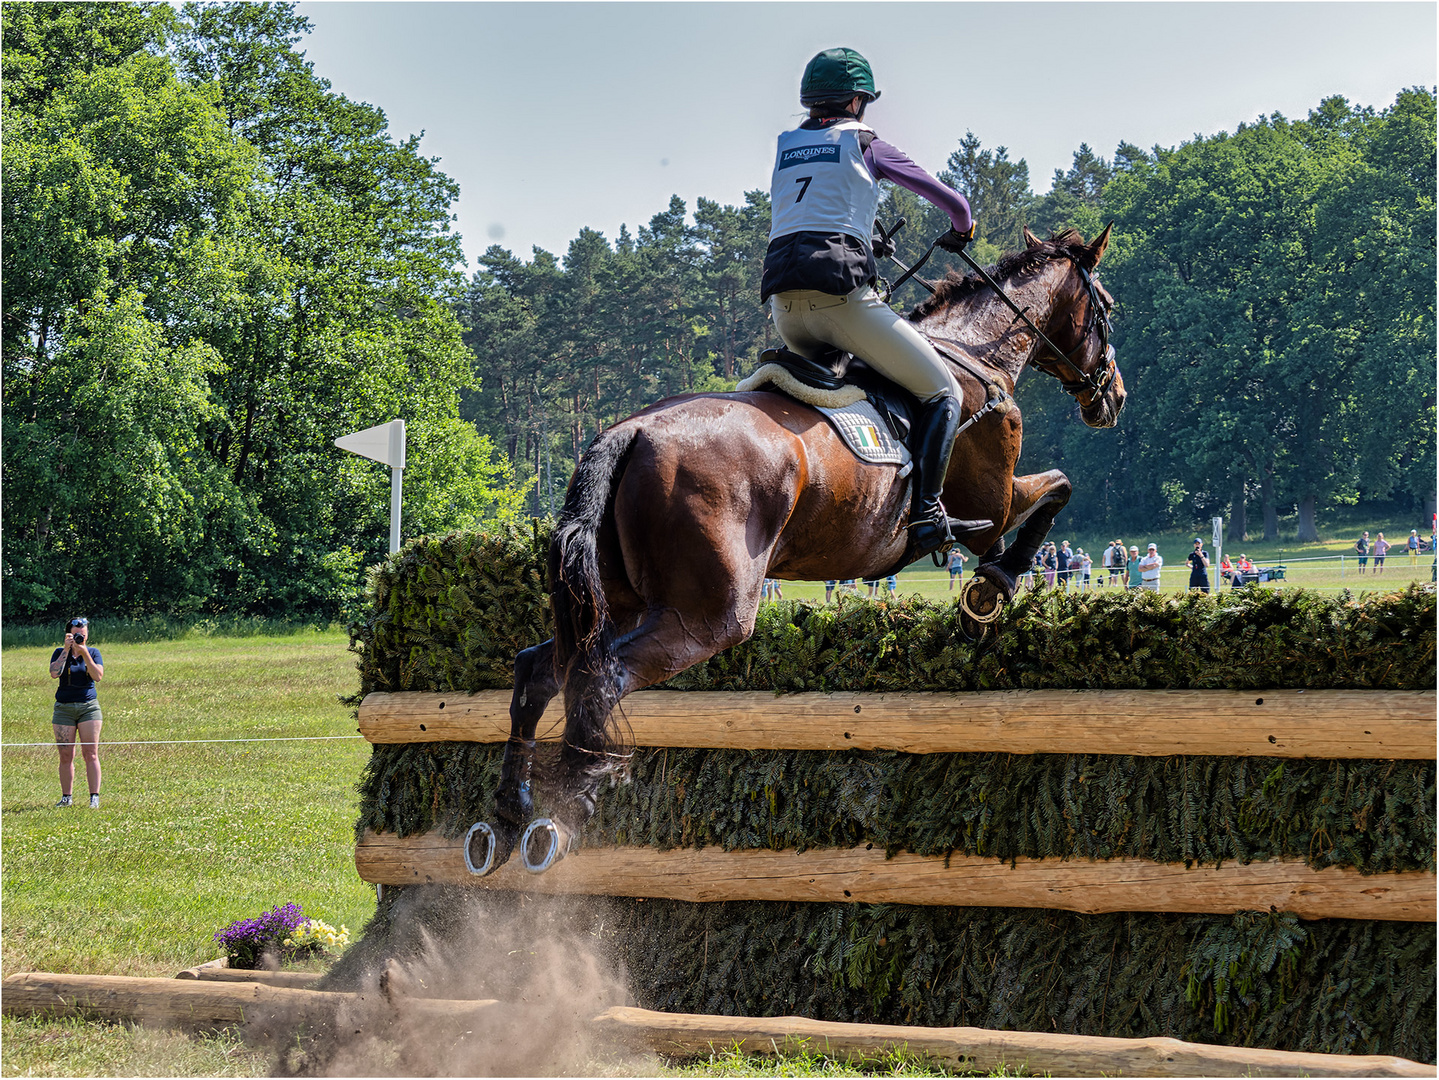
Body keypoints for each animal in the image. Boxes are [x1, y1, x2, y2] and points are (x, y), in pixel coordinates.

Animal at [469, 225, 1122, 880]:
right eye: (1107, 309)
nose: (1111, 396)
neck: (975, 353)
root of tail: (627, 431)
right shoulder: (992, 505)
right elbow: (1056, 490)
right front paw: (993, 587)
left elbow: (1052, 493)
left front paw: (990, 589)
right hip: (708, 617)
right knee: (601, 678)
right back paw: (563, 814)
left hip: (619, 602)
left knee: (542, 669)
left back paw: (507, 814)